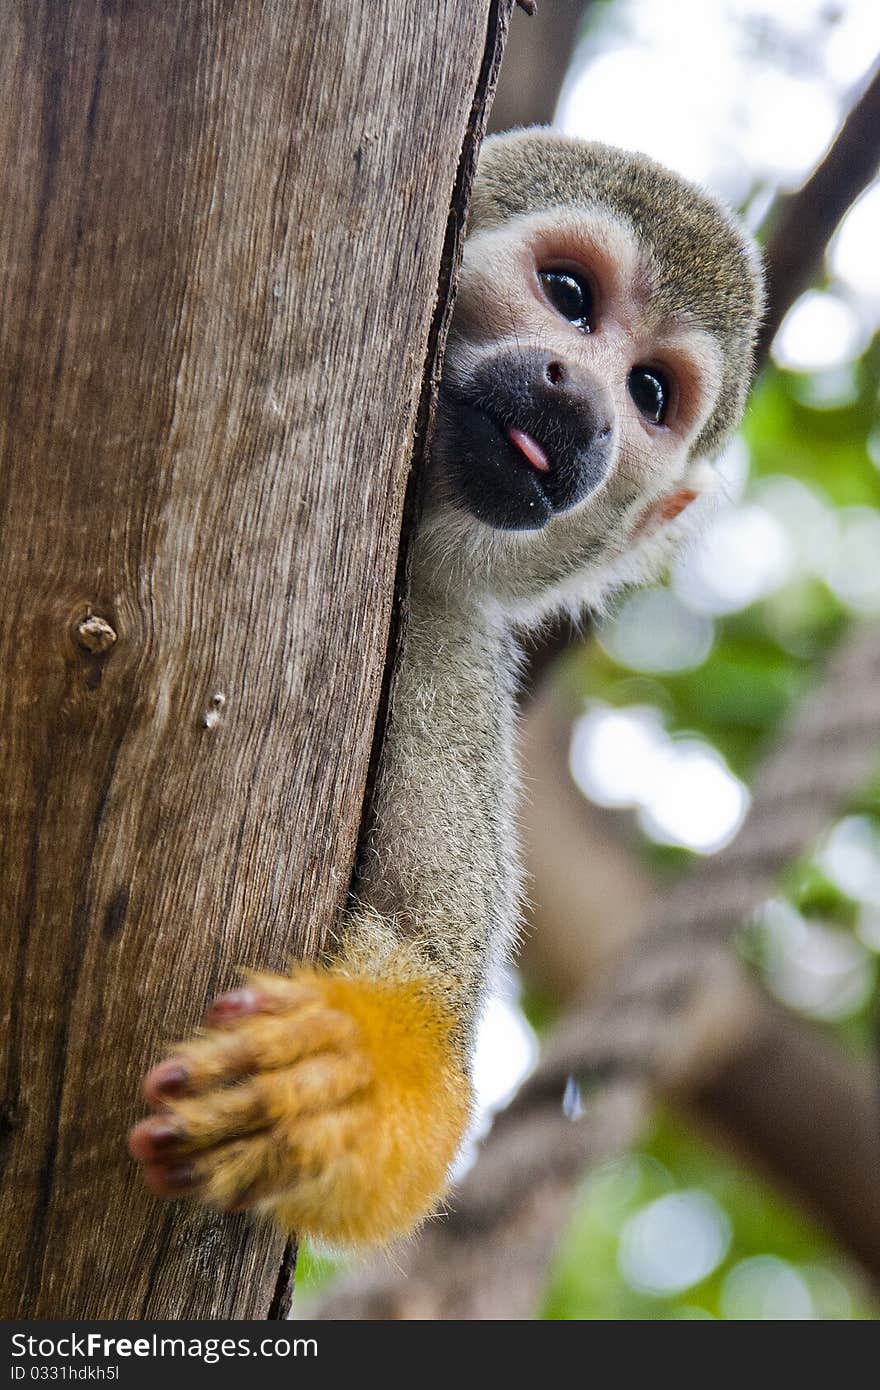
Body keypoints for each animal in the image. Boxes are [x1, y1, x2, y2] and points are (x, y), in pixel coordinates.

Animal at [128, 130, 761, 1245]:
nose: (581, 400)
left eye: (648, 395)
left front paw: (347, 1083)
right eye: (568, 294)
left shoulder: (441, 628)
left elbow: (431, 965)